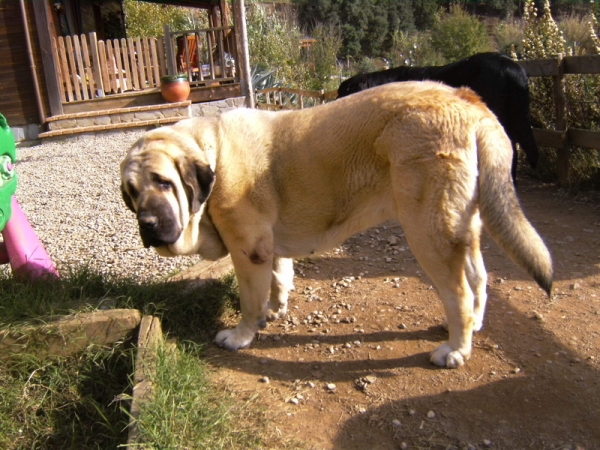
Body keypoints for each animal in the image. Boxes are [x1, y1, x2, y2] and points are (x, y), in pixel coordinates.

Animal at [119, 81, 552, 370]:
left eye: (163, 182)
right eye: (131, 192)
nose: (148, 224)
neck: (212, 153)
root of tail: (467, 100)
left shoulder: (248, 250)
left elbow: (249, 299)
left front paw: (242, 334)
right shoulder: (269, 246)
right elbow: (279, 277)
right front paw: (274, 310)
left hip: (429, 233)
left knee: (458, 292)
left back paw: (457, 349)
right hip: (463, 227)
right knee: (479, 278)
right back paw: (475, 325)